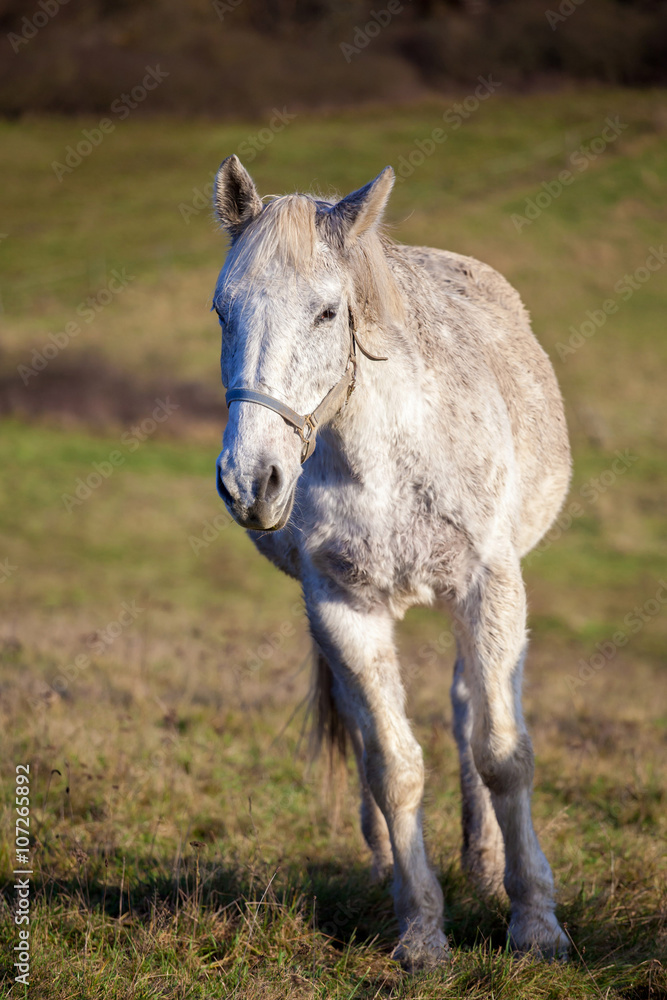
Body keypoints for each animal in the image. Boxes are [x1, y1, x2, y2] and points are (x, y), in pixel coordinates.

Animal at [214, 158, 576, 968]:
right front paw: (420, 931)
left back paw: (486, 864)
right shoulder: (340, 607)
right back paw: (385, 863)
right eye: (223, 311)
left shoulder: (487, 586)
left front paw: (535, 923)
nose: (251, 481)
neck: (385, 454)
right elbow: (393, 765)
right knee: (368, 730)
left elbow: (502, 753)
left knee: (471, 708)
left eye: (326, 313)